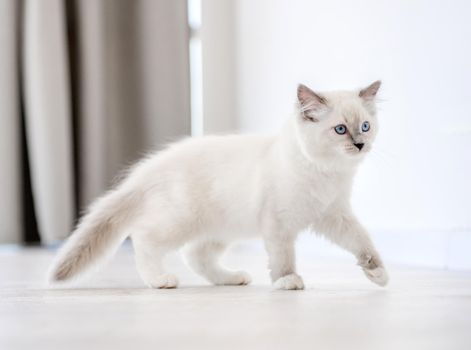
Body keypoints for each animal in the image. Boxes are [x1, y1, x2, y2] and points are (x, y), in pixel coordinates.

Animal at [49, 81, 390, 290]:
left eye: (365, 126)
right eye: (340, 130)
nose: (360, 144)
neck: (325, 174)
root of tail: (149, 167)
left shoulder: (334, 215)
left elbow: (362, 242)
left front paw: (377, 273)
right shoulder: (278, 222)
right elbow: (283, 258)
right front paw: (287, 281)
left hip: (221, 228)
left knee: (195, 256)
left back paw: (232, 278)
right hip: (181, 221)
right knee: (143, 239)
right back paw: (160, 280)